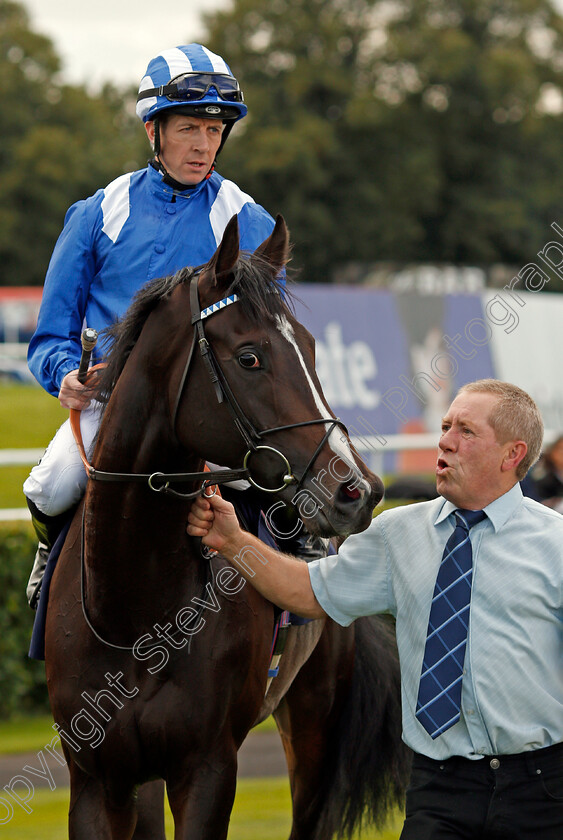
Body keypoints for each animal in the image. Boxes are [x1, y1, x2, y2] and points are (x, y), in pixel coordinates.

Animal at [45, 218, 410, 840]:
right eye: (249, 358)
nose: (357, 489)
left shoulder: (210, 768)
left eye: (312, 349)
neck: (135, 615)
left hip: (314, 720)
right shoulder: (95, 779)